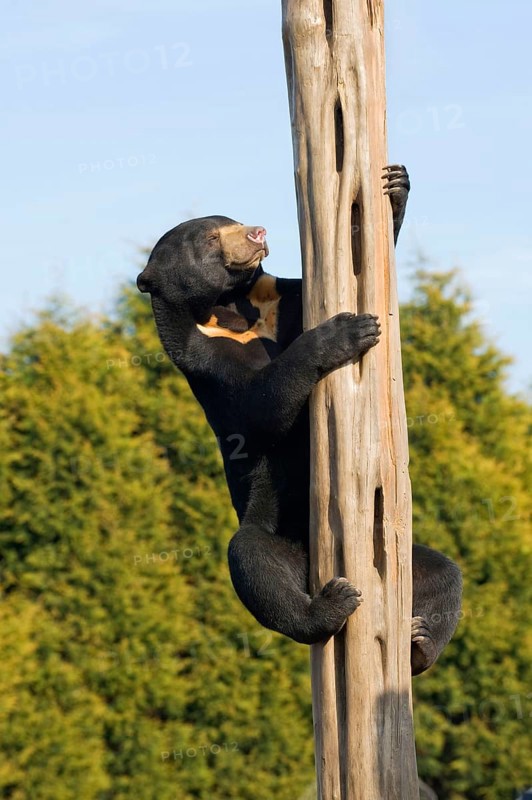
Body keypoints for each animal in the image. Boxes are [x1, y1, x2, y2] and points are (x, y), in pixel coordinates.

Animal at [137, 165, 462, 675]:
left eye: (232, 220)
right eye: (209, 238)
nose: (257, 232)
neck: (234, 309)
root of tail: (312, 559)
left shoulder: (284, 299)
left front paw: (395, 187)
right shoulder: (205, 360)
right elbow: (259, 410)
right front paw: (344, 331)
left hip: (395, 557)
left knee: (444, 575)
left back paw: (419, 645)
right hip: (269, 530)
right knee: (253, 562)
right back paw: (329, 607)